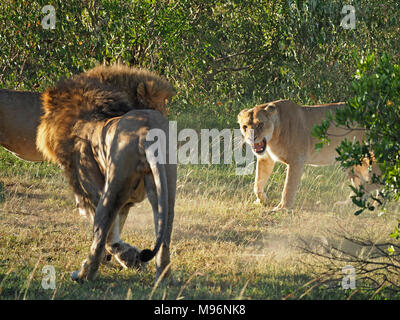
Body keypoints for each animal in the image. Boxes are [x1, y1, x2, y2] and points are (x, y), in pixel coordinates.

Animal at [36, 66, 177, 282]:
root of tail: (146, 132)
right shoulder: (127, 202)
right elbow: (117, 227)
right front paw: (129, 257)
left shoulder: (90, 191)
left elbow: (109, 234)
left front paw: (126, 257)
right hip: (166, 189)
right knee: (164, 240)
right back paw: (163, 279)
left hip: (110, 189)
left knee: (100, 234)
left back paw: (83, 275)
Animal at [236, 99, 376, 211]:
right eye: (245, 127)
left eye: (260, 124)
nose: (251, 138)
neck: (273, 137)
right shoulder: (265, 159)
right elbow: (257, 183)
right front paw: (262, 200)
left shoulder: (297, 160)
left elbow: (288, 187)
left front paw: (283, 208)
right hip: (350, 159)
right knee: (360, 184)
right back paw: (348, 204)